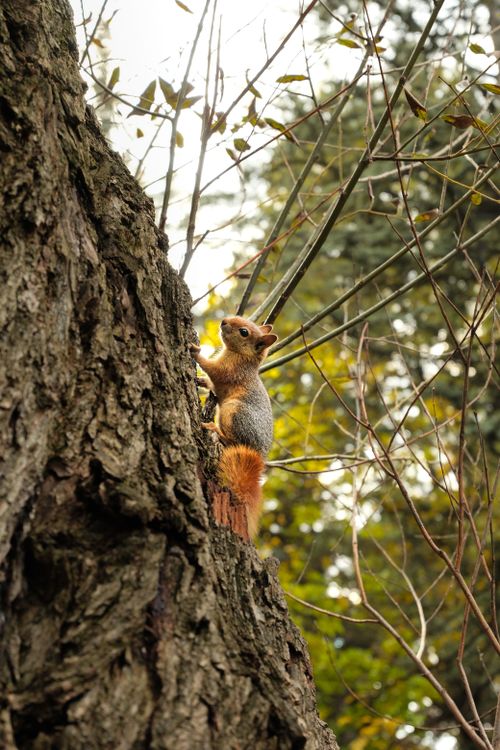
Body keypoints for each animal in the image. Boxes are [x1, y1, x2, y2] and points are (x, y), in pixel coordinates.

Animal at [190, 316, 278, 538]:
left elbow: (213, 369)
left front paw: (195, 351)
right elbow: (210, 382)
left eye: (244, 332)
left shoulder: (230, 370)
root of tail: (258, 454)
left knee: (230, 440)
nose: (223, 321)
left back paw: (214, 429)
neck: (240, 355)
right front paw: (200, 380)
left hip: (232, 412)